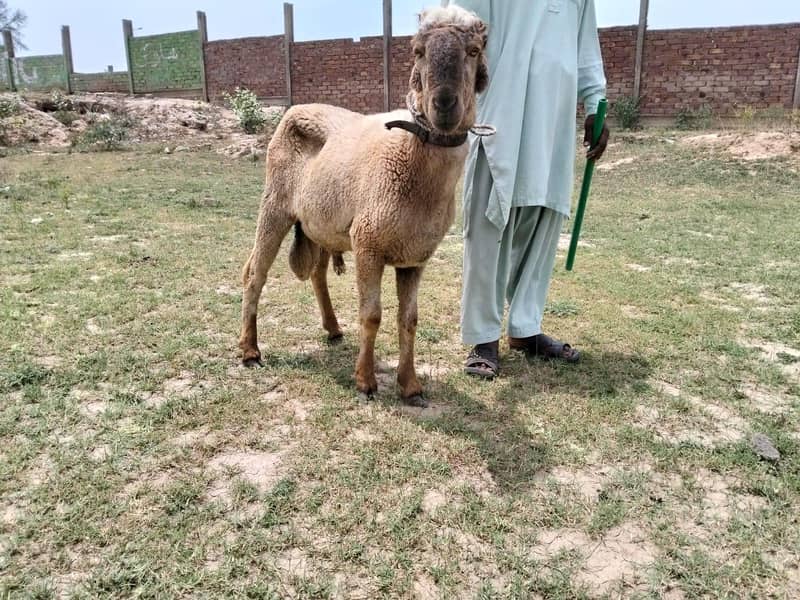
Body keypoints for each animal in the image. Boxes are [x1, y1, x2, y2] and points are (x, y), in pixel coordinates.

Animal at [238, 5, 489, 406]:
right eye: (418, 51)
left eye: (474, 50)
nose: (444, 104)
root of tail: (296, 107)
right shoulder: (368, 243)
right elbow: (371, 316)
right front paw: (366, 381)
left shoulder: (414, 257)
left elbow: (409, 320)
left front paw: (410, 386)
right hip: (275, 203)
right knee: (254, 274)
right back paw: (250, 350)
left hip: (319, 222)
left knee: (317, 273)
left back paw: (332, 328)